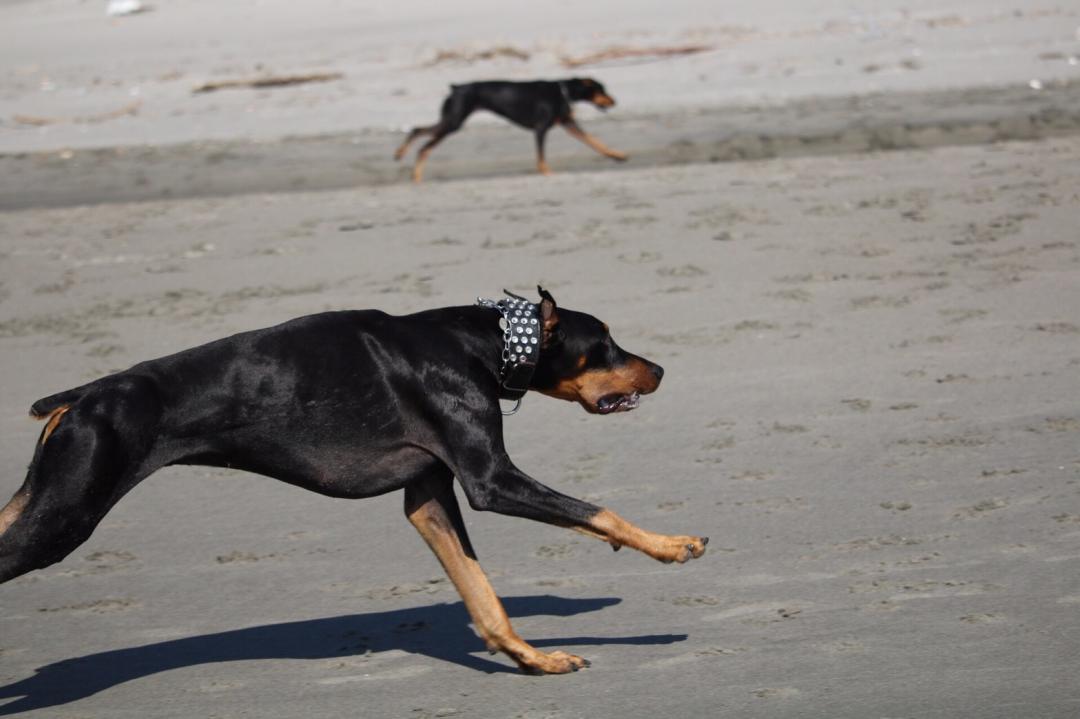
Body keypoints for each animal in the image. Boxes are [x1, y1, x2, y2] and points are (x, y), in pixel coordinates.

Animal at [0, 285, 704, 673]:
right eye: (604, 342)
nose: (662, 370)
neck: (476, 344)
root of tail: (84, 396)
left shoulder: (428, 496)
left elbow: (484, 598)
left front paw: (536, 659)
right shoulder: (492, 482)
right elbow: (598, 511)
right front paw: (673, 546)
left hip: (41, 498)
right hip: (62, 516)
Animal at [393, 78, 630, 182]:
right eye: (602, 90)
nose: (615, 101)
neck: (563, 91)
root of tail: (456, 88)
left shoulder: (569, 125)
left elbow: (594, 141)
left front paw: (617, 156)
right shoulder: (540, 129)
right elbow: (541, 157)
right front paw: (547, 173)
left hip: (450, 120)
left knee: (416, 130)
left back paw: (404, 160)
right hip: (453, 122)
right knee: (424, 145)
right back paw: (412, 170)